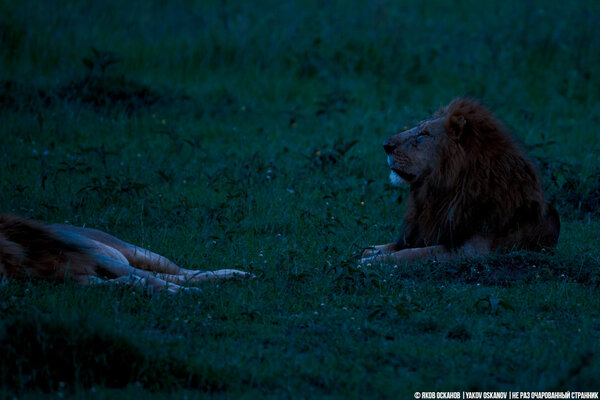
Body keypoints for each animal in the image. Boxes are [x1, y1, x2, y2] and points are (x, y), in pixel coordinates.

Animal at [0, 214, 248, 292]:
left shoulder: (98, 258)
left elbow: (148, 278)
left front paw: (183, 293)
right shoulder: (75, 280)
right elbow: (124, 282)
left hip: (140, 254)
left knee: (187, 272)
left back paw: (240, 275)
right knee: (175, 275)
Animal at [360, 98, 564, 264]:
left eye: (423, 134)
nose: (385, 145)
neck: (438, 193)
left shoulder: (471, 250)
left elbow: (415, 253)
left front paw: (373, 262)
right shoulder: (422, 232)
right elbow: (382, 247)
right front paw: (365, 253)